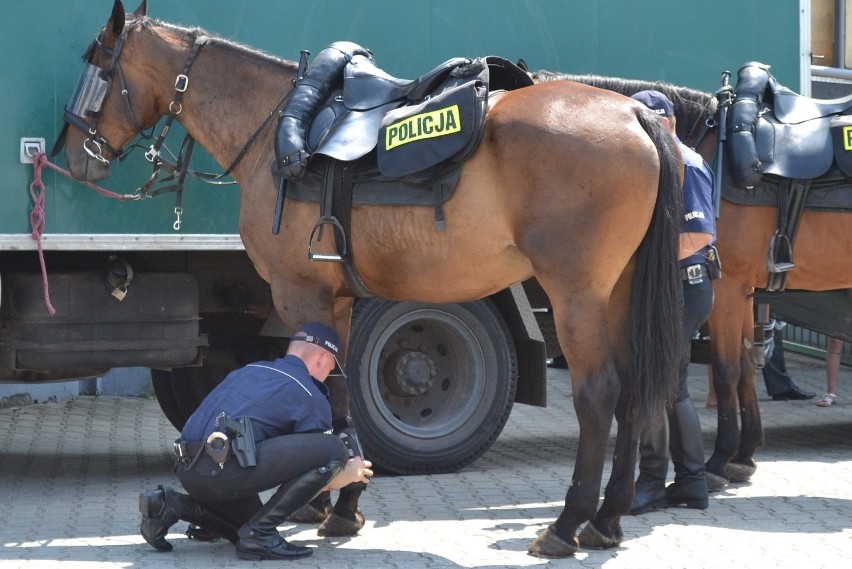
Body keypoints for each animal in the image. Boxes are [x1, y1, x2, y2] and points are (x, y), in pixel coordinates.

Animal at [55, 2, 684, 556]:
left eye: (99, 70)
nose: (73, 155)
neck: (278, 128)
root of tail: (635, 115)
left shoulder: (302, 294)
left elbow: (326, 392)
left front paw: (333, 503)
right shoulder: (340, 301)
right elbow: (339, 398)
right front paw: (342, 500)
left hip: (577, 295)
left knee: (599, 392)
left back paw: (568, 523)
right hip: (620, 294)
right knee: (635, 391)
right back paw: (607, 519)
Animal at [532, 70, 852, 488]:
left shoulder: (727, 288)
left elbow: (726, 371)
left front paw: (719, 459)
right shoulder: (743, 292)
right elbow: (745, 366)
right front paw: (744, 455)